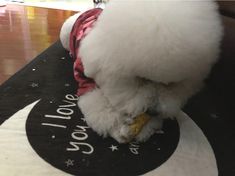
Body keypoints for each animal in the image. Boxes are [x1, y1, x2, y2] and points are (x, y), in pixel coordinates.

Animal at [59, 0, 223, 143]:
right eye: (141, 78)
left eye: (171, 84)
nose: (153, 111)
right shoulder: (85, 77)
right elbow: (98, 104)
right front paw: (117, 126)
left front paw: (146, 127)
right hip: (66, 36)